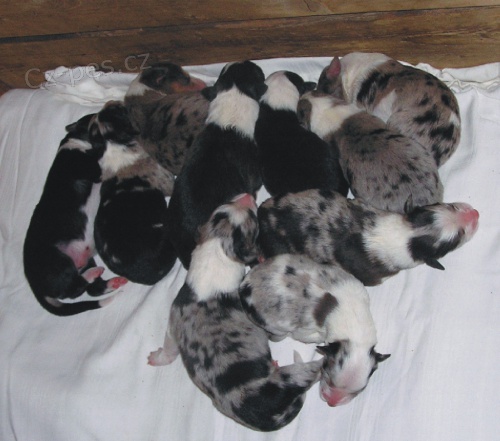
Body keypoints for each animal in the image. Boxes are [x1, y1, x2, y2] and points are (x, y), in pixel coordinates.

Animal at [23, 114, 128, 316]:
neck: (76, 142)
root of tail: (34, 284)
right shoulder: (92, 168)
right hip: (59, 262)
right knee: (73, 290)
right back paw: (92, 275)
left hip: (86, 259)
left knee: (92, 289)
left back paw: (112, 281)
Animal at [148, 194, 324, 431]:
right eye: (253, 219)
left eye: (221, 209)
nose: (248, 196)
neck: (218, 250)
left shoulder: (175, 319)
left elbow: (169, 345)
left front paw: (158, 357)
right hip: (290, 376)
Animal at [239, 253, 390, 406]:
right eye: (327, 373)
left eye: (360, 390)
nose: (331, 402)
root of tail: (246, 283)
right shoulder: (306, 331)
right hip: (274, 327)